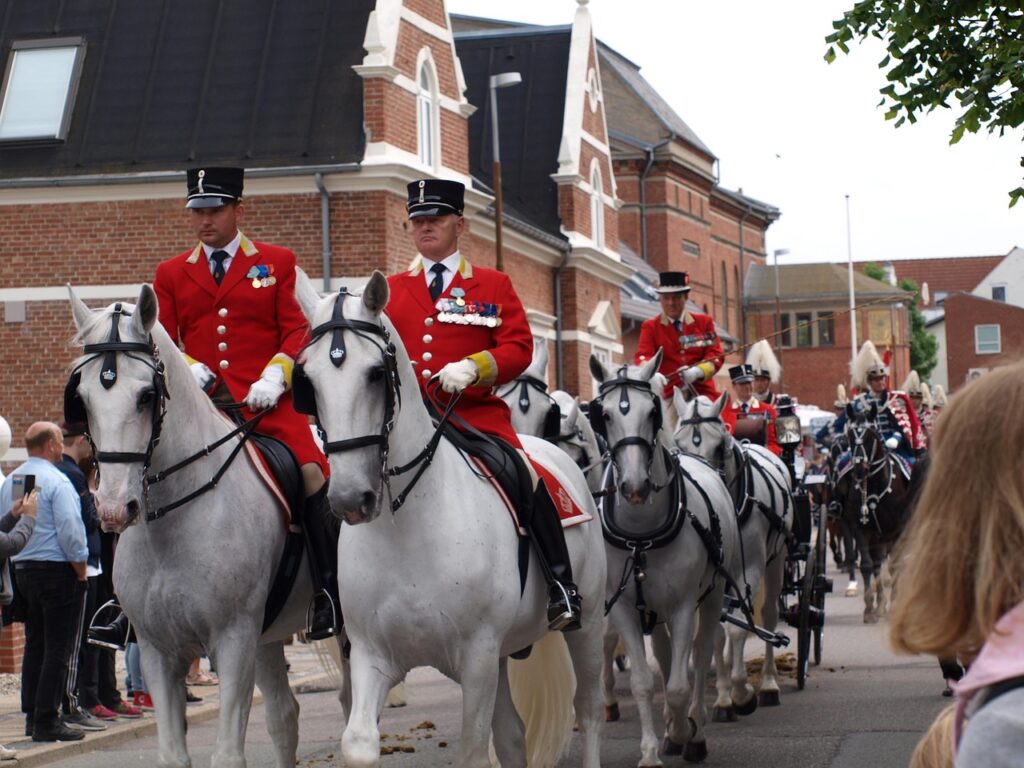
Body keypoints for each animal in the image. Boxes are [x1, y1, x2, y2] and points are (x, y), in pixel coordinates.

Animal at [65, 286, 344, 768]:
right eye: (81, 398)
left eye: (145, 395)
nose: (115, 508)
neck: (173, 523)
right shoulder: (158, 652)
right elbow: (174, 755)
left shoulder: (232, 643)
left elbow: (228, 754)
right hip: (267, 636)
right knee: (284, 717)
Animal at [292, 274, 602, 768]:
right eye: (308, 381)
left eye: (375, 373)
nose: (350, 499)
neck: (407, 525)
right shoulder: (370, 654)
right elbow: (358, 743)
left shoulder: (477, 657)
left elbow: (473, 751)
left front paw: (458, 373)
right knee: (513, 735)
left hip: (587, 624)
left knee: (588, 709)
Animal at [589, 354, 741, 765]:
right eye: (604, 414)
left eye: (651, 412)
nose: (635, 488)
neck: (642, 534)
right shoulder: (625, 607)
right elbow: (645, 681)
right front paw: (652, 750)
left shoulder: (685, 605)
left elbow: (678, 684)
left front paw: (687, 733)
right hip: (653, 609)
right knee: (665, 651)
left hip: (714, 595)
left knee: (703, 653)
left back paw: (697, 723)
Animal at [675, 393, 794, 720]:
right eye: (679, 444)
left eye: (719, 445)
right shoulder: (714, 579)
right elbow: (716, 633)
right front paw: (725, 697)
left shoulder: (748, 569)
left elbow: (738, 630)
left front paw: (742, 692)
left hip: (776, 561)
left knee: (769, 614)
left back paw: (768, 684)